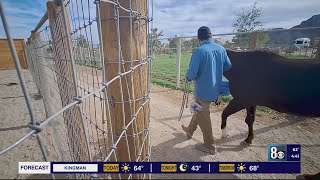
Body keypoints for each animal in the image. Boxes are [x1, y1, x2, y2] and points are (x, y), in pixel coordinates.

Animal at [221, 50, 320, 180]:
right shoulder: (251, 102)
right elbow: (249, 120)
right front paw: (248, 139)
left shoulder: (242, 100)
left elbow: (225, 113)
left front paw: (224, 134)